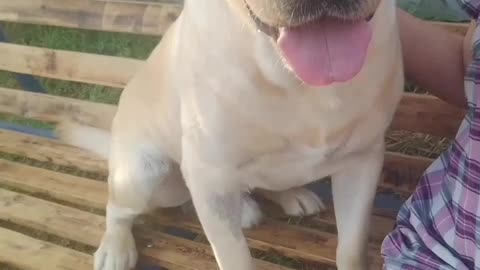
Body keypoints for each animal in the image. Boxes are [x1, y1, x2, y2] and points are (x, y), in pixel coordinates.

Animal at [60, 0, 404, 268]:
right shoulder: (209, 176)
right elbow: (235, 257)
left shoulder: (362, 160)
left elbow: (351, 249)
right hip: (145, 176)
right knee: (117, 208)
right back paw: (115, 248)